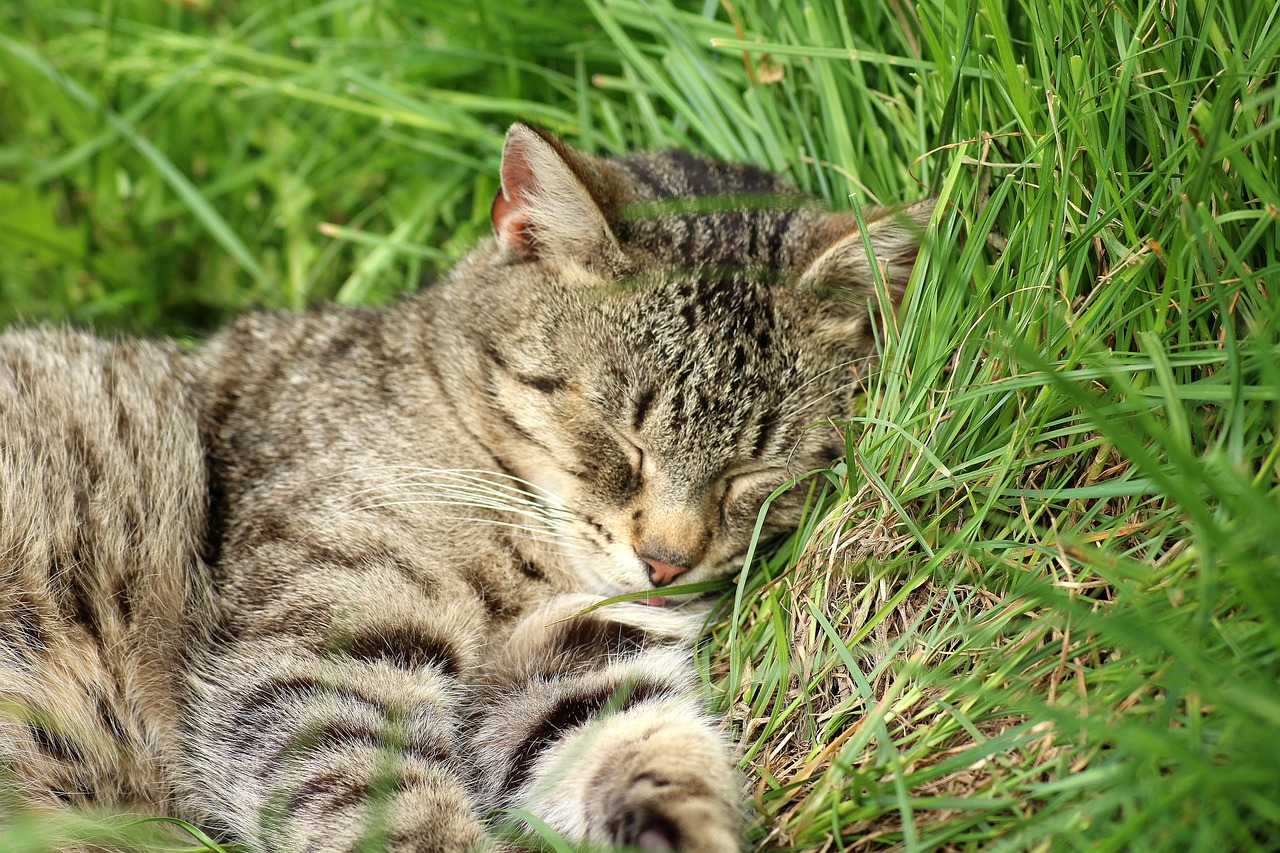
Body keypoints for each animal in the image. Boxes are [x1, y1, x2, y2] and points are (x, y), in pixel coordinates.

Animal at [0, 121, 926, 850]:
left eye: (754, 471)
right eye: (618, 437)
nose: (666, 560)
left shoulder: (577, 665)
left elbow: (651, 751)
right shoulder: (316, 660)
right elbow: (391, 812)